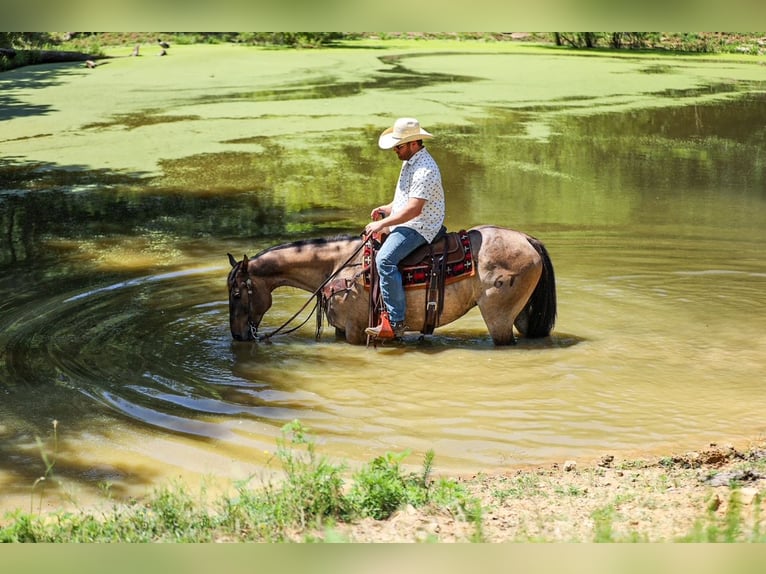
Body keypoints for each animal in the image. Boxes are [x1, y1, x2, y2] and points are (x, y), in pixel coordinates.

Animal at [227, 225, 556, 345]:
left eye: (237, 293)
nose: (238, 336)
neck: (337, 266)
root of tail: (528, 239)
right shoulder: (341, 329)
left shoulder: (355, 331)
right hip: (523, 316)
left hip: (498, 318)